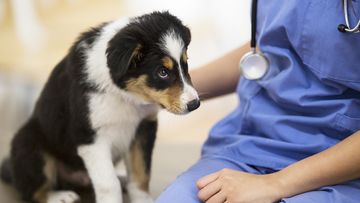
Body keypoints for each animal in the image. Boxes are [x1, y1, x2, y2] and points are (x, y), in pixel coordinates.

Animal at [0, 11, 200, 203]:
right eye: (162, 72)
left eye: (185, 63)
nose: (195, 104)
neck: (125, 95)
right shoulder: (90, 137)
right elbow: (108, 183)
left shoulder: (143, 128)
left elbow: (140, 174)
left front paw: (143, 200)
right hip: (29, 144)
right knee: (31, 191)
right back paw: (59, 196)